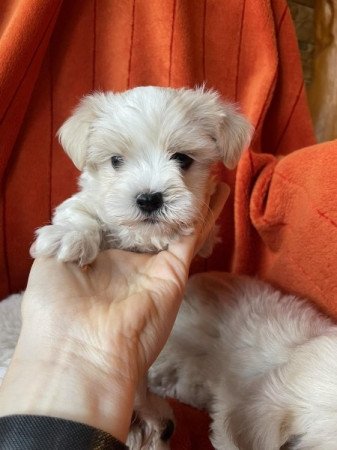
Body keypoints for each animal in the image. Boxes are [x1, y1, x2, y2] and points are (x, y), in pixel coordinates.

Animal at [0, 87, 251, 450]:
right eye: (116, 161)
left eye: (182, 159)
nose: (149, 199)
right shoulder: (83, 202)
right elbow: (81, 213)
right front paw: (69, 236)